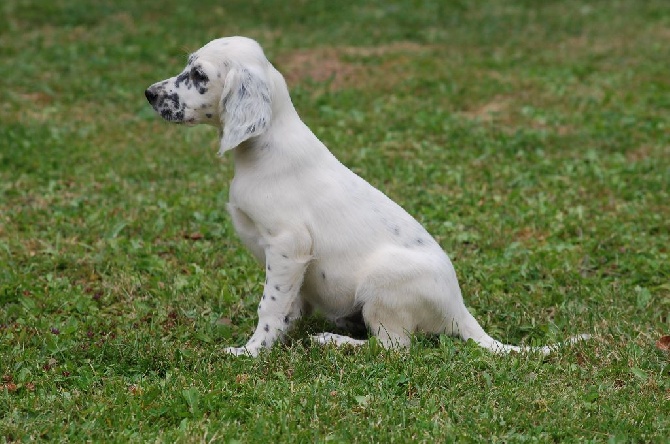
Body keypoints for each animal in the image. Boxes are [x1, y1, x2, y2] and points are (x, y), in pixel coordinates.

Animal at [146, 35, 588, 358]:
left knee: (394, 348)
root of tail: (458, 309)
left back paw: (335, 342)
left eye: (198, 75)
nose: (149, 93)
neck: (265, 146)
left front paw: (251, 351)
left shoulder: (288, 245)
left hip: (381, 286)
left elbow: (269, 306)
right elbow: (288, 305)